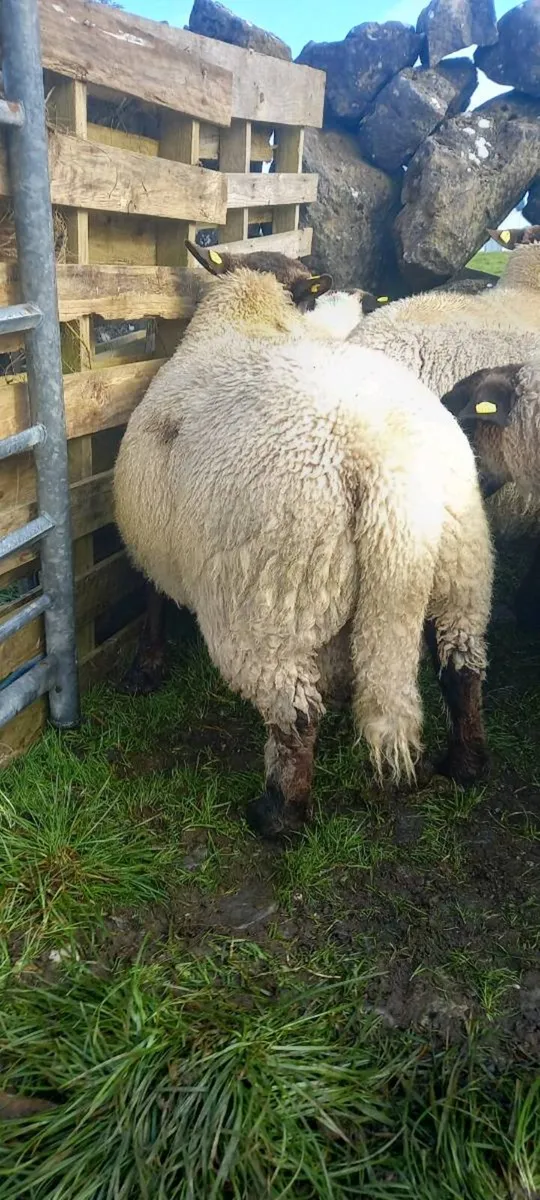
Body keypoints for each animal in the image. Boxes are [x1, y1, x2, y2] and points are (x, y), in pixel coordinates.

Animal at [114, 264, 493, 837]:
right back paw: (464, 764)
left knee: (294, 714)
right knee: (462, 668)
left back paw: (278, 815)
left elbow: (151, 596)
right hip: (459, 568)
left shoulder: (152, 533)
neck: (249, 319)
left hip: (271, 600)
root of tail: (388, 463)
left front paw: (146, 668)